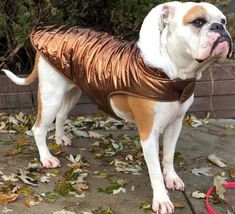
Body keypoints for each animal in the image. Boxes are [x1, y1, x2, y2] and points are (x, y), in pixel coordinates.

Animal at [2, 2, 232, 214]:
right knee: (39, 128)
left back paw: (60, 139)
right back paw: (46, 158)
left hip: (72, 91)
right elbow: (155, 171)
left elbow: (168, 156)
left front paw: (172, 178)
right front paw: (161, 199)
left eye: (222, 20)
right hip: (52, 95)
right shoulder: (149, 133)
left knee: (60, 116)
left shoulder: (175, 124)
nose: (220, 28)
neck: (173, 74)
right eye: (198, 22)